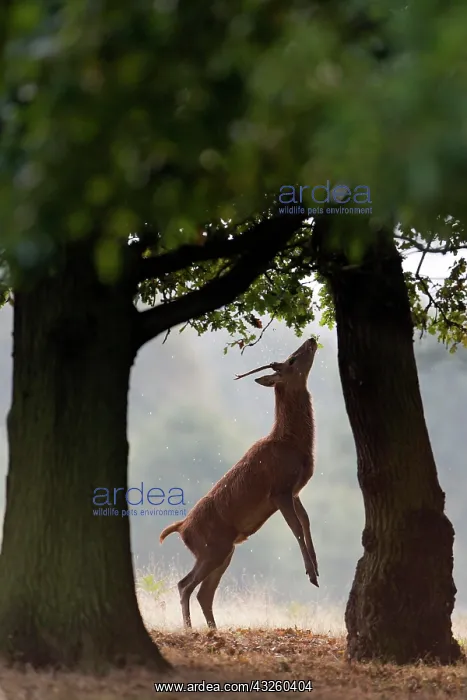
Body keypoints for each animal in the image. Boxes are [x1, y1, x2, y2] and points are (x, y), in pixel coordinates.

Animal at [159, 336, 319, 629]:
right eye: (291, 360)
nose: (311, 340)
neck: (291, 444)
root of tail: (181, 528)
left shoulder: (295, 490)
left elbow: (306, 523)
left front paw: (315, 566)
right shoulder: (279, 489)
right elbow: (296, 528)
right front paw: (310, 574)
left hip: (225, 551)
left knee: (203, 593)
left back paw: (213, 630)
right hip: (211, 549)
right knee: (184, 585)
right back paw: (189, 628)